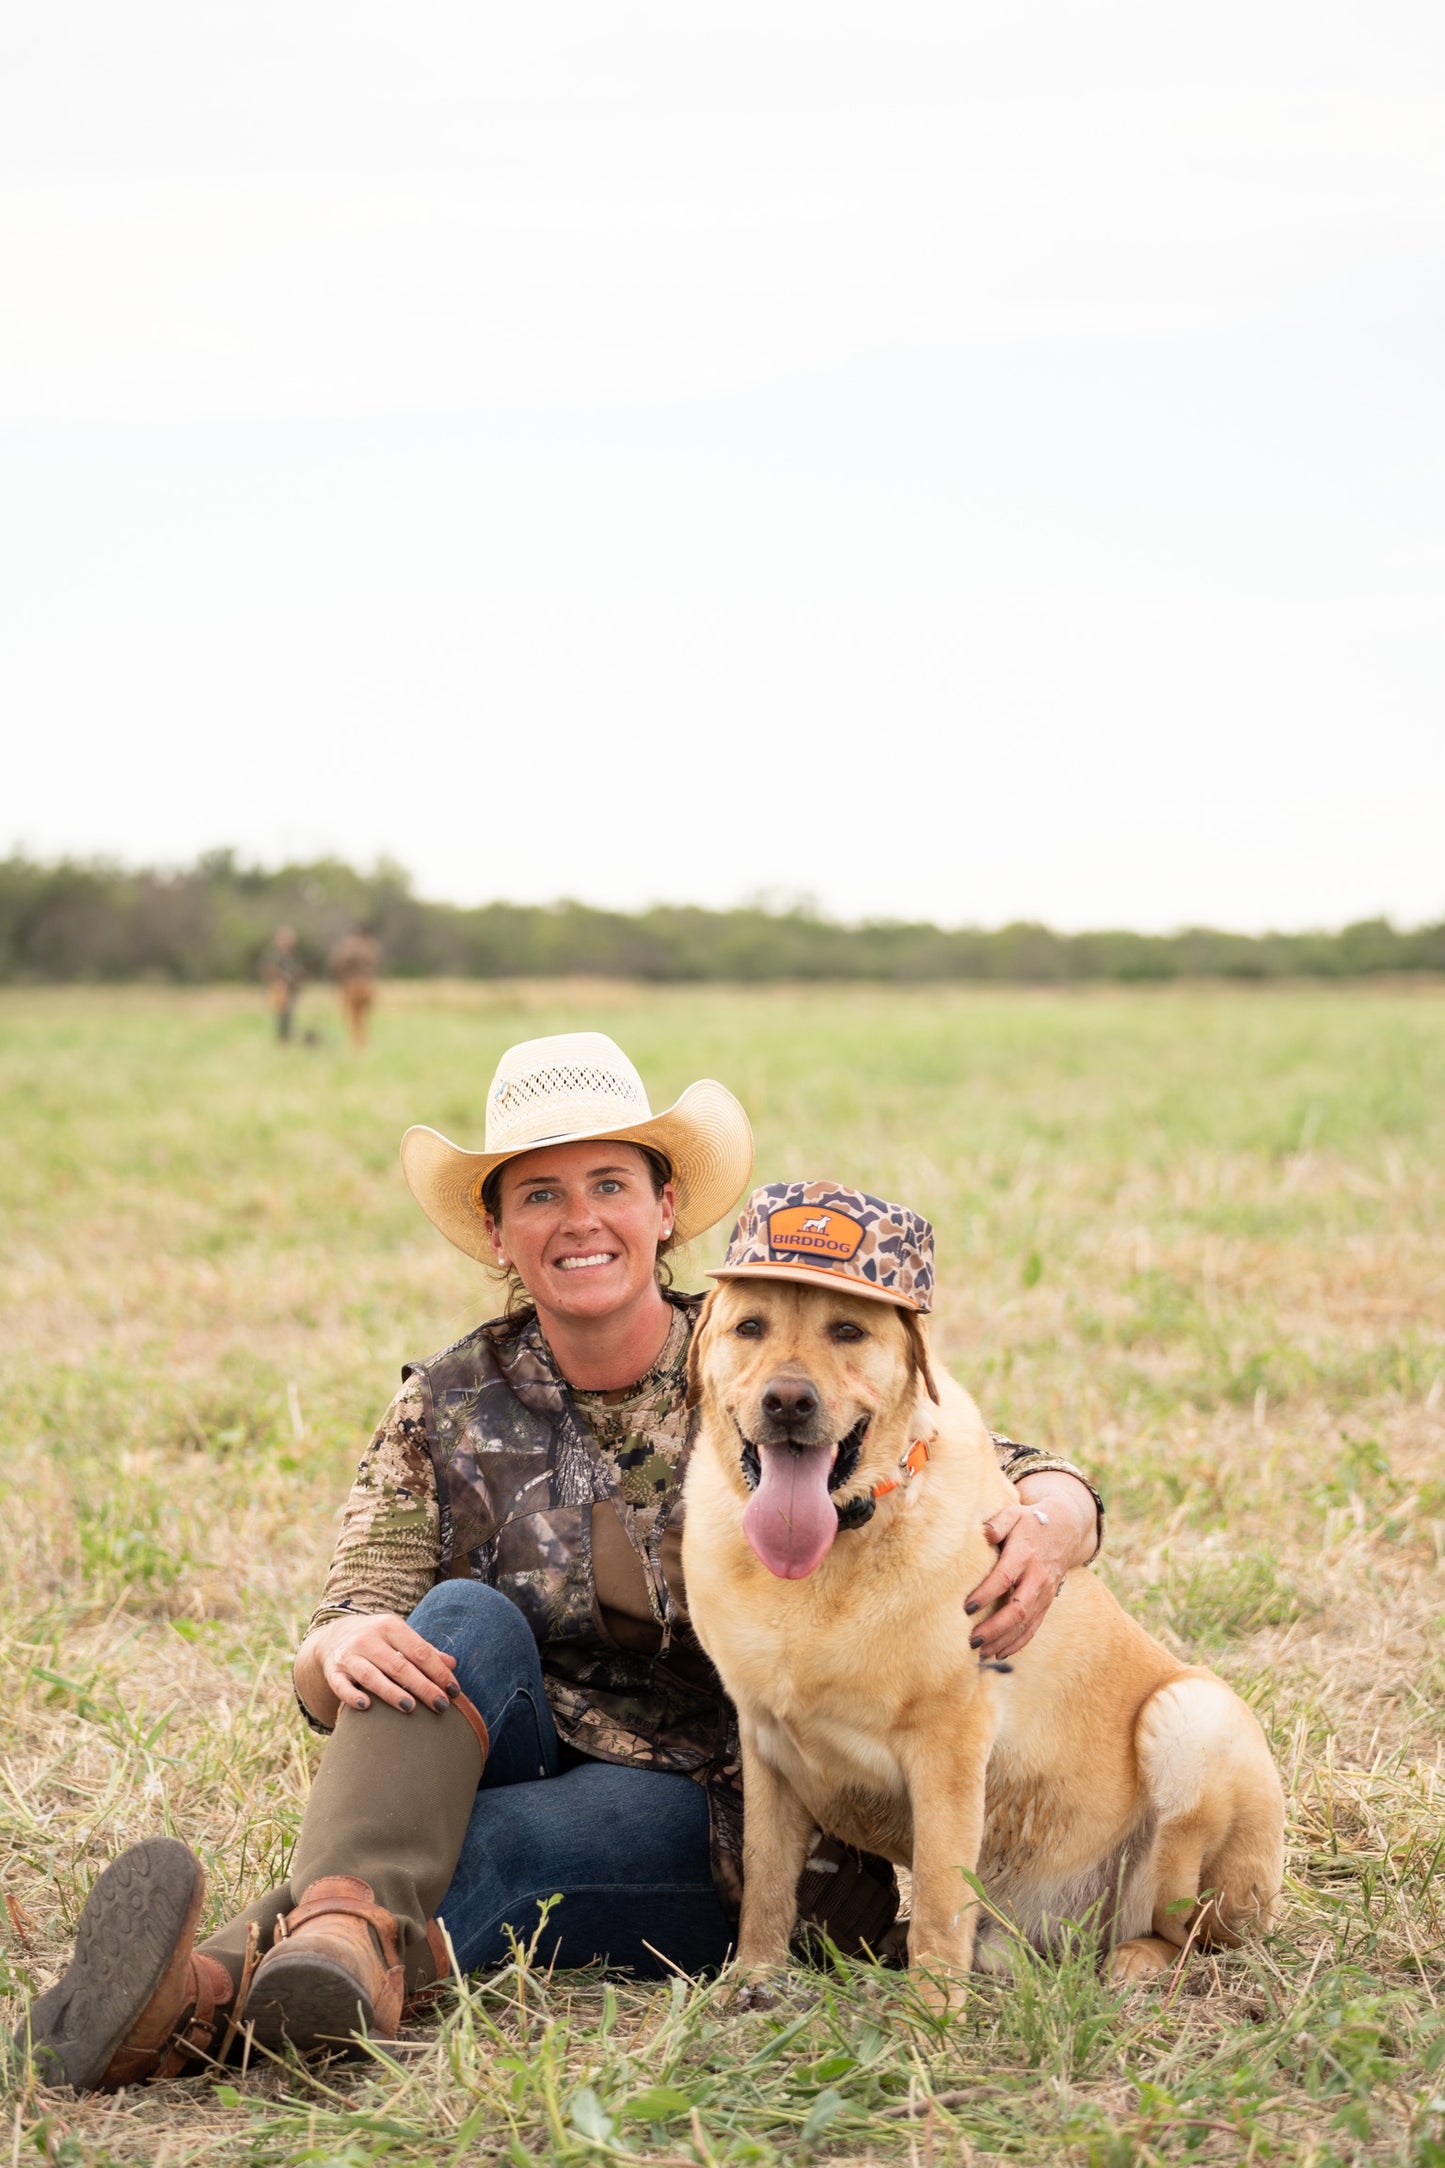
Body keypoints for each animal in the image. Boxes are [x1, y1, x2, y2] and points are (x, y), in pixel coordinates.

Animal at [680, 1188, 1291, 1994]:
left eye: (847, 1330)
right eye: (749, 1327)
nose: (787, 1402)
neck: (837, 1547)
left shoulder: (950, 1746)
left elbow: (941, 1898)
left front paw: (932, 2015)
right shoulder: (766, 1747)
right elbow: (766, 1878)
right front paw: (752, 1978)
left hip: (1191, 1719)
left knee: (1189, 1931)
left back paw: (1134, 1960)